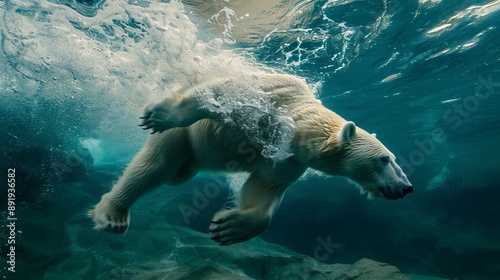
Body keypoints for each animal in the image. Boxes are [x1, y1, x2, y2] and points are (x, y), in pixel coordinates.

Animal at [90, 74, 414, 245]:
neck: (295, 121)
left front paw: (229, 226)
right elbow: (218, 93)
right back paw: (113, 215)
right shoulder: (267, 95)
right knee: (154, 166)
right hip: (182, 138)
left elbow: (264, 187)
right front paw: (161, 113)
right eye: (384, 159)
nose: (407, 187)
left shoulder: (288, 158)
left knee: (175, 173)